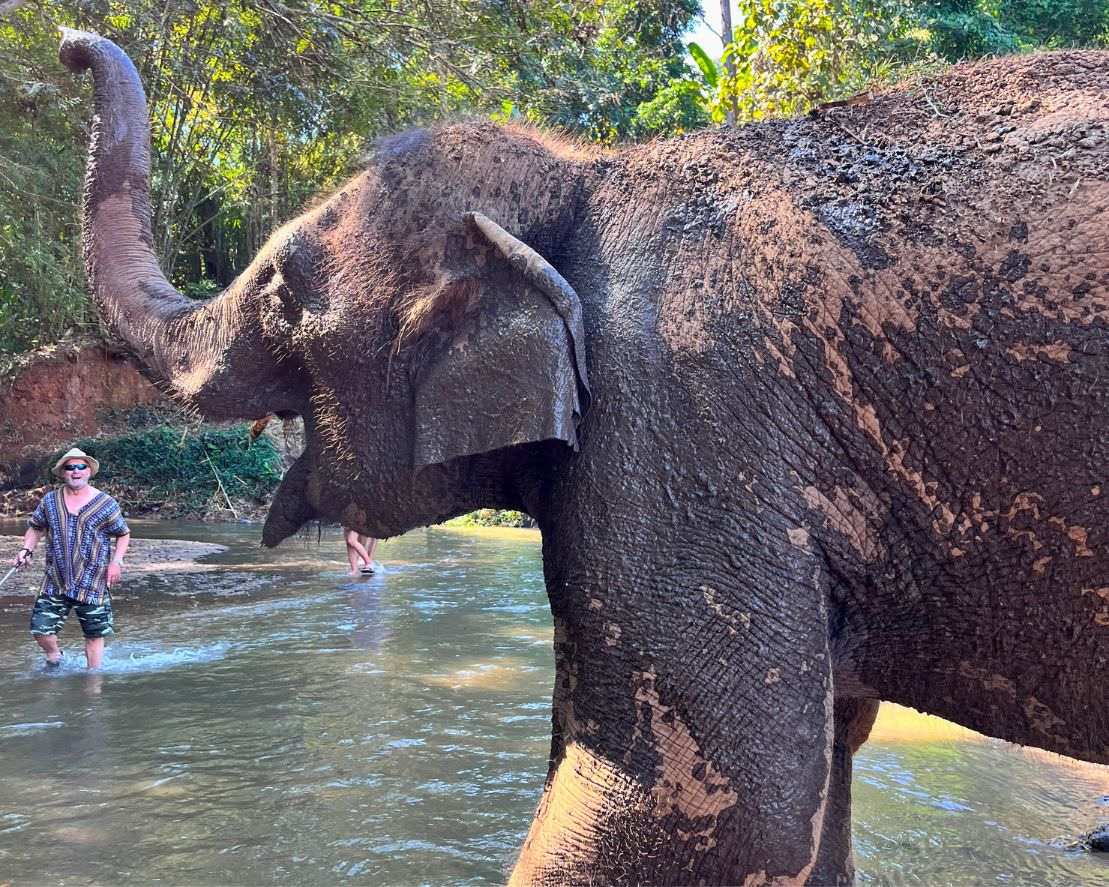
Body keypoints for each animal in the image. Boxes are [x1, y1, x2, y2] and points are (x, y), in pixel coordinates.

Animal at [60, 29, 1108, 885]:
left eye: (282, 290)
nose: (70, 47)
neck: (585, 179)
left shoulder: (688, 422)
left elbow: (719, 798)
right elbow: (819, 768)